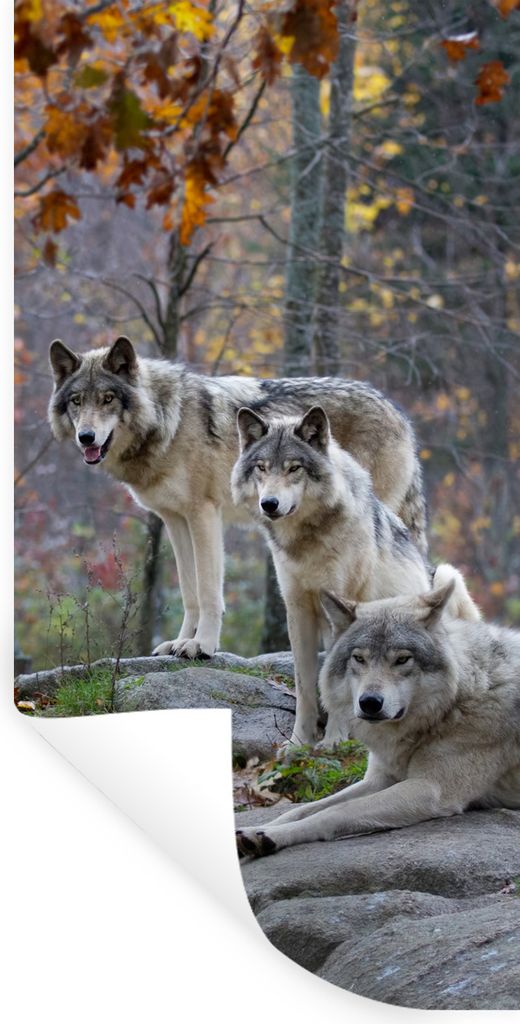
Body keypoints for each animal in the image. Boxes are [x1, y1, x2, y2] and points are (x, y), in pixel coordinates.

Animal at [48, 334, 427, 659]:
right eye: (77, 401)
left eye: (108, 399)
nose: (86, 437)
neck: (169, 421)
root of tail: (399, 413)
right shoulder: (175, 520)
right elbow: (189, 591)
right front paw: (180, 641)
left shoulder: (203, 515)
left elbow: (208, 591)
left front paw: (201, 645)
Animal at [231, 406, 479, 747]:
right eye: (261, 468)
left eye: (294, 468)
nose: (269, 504)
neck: (308, 542)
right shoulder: (297, 609)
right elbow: (305, 685)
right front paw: (299, 743)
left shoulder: (342, 606)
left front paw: (334, 740)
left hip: (445, 574)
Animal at [236, 580, 520, 858]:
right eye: (359, 658)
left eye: (402, 659)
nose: (370, 702)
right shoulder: (379, 778)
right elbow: (302, 809)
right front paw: (259, 830)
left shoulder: (430, 789)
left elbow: (335, 812)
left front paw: (273, 836)